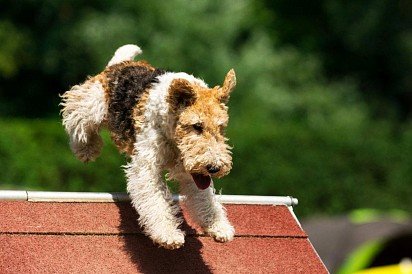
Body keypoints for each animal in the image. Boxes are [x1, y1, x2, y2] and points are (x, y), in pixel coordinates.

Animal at [60, 44, 235, 248]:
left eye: (221, 127)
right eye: (197, 126)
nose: (214, 168)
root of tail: (121, 63)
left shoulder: (193, 173)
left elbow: (204, 198)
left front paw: (219, 227)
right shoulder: (147, 166)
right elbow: (156, 200)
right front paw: (168, 234)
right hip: (93, 104)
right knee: (76, 117)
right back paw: (87, 150)